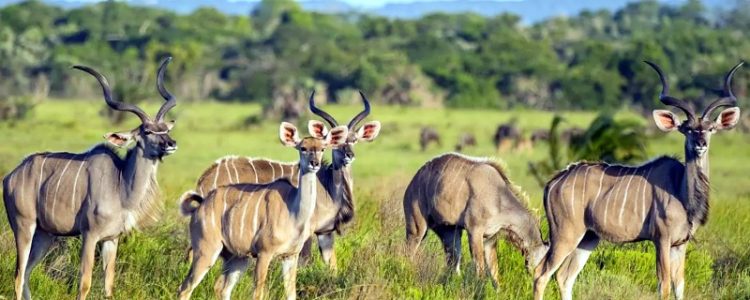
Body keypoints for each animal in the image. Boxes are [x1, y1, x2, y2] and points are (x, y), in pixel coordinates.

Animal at [2, 57, 178, 298]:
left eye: (164, 129)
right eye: (147, 131)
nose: (171, 143)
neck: (120, 187)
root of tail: (11, 176)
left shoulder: (111, 239)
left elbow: (108, 285)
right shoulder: (90, 235)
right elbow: (84, 283)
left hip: (45, 234)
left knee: (27, 272)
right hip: (23, 225)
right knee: (18, 275)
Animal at [178, 120, 352, 298]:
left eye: (322, 148)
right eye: (303, 148)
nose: (314, 164)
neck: (294, 213)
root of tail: (200, 206)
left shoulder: (290, 255)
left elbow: (291, 293)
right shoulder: (264, 253)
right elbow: (258, 293)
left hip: (238, 258)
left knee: (222, 288)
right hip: (207, 250)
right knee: (185, 287)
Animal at [181, 92, 382, 276]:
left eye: (354, 140)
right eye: (337, 144)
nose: (349, 155)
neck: (328, 187)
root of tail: (206, 176)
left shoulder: (325, 232)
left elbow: (331, 264)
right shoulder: (307, 232)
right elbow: (303, 261)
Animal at [406, 152, 548, 286]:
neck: (498, 197)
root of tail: (413, 182)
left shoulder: (490, 239)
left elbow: (494, 272)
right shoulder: (474, 232)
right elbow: (480, 269)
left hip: (450, 233)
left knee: (453, 265)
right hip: (417, 230)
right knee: (409, 253)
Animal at [536, 61, 748, 300]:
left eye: (710, 129)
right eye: (688, 129)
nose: (700, 144)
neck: (681, 192)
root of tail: (553, 182)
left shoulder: (680, 244)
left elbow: (679, 286)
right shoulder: (661, 239)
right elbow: (664, 286)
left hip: (588, 238)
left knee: (565, 277)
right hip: (565, 234)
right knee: (541, 273)